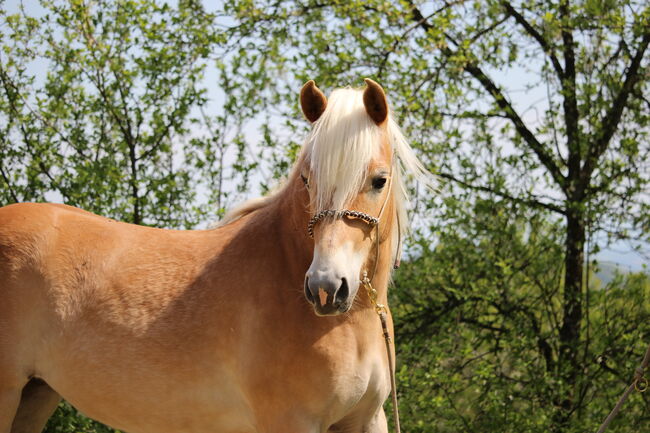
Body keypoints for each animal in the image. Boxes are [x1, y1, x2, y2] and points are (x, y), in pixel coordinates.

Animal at [1, 79, 430, 430]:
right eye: (308, 180)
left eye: (379, 180)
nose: (326, 288)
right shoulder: (291, 421)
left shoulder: (365, 419)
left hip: (35, 396)